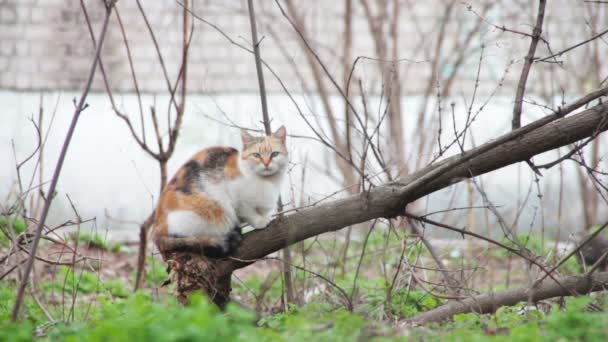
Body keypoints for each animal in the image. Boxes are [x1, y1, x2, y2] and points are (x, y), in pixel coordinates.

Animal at [153, 127, 288, 258]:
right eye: (256, 155)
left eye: (274, 154)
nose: (266, 163)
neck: (268, 182)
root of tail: (157, 231)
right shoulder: (235, 196)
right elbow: (248, 212)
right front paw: (260, 221)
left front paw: (264, 217)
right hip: (209, 211)